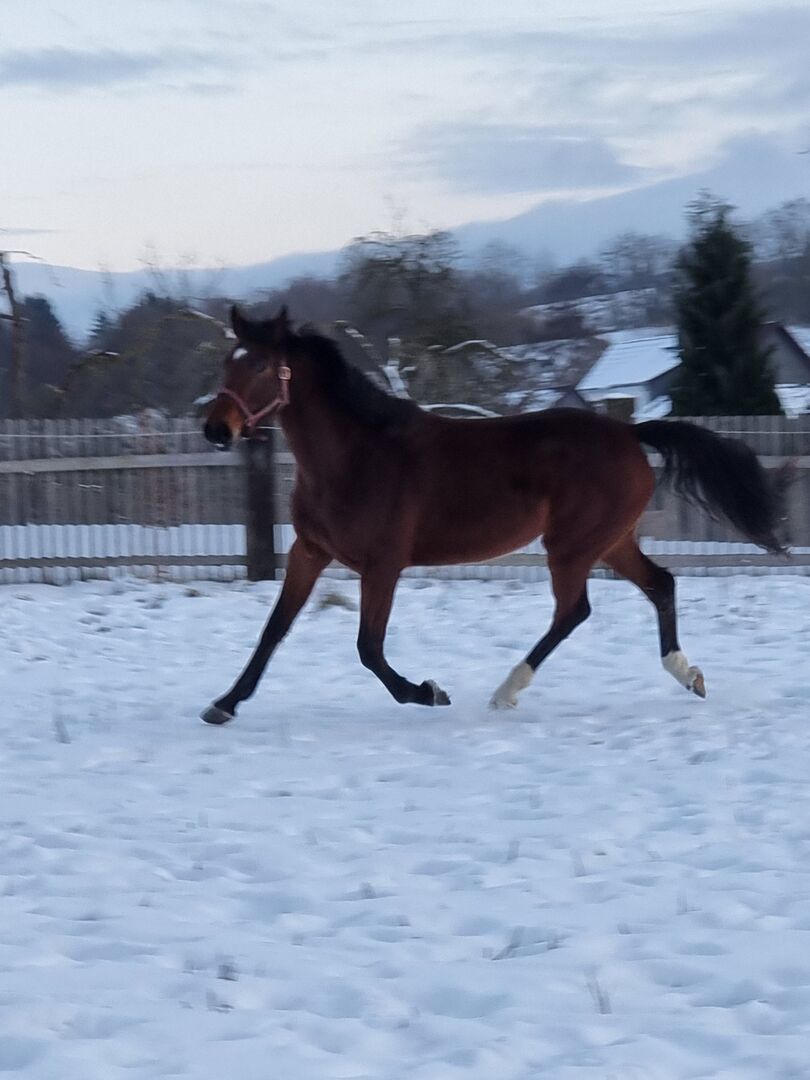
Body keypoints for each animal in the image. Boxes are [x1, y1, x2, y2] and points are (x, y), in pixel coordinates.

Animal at [200, 305, 786, 724]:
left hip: (571, 545)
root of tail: (629, 432)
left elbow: (369, 648)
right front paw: (224, 704)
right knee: (660, 584)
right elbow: (274, 629)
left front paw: (429, 692)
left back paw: (505, 692)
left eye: (259, 364)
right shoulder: (310, 551)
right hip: (611, 541)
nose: (216, 430)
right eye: (227, 360)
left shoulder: (383, 564)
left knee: (574, 611)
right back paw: (688, 675)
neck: (355, 455)